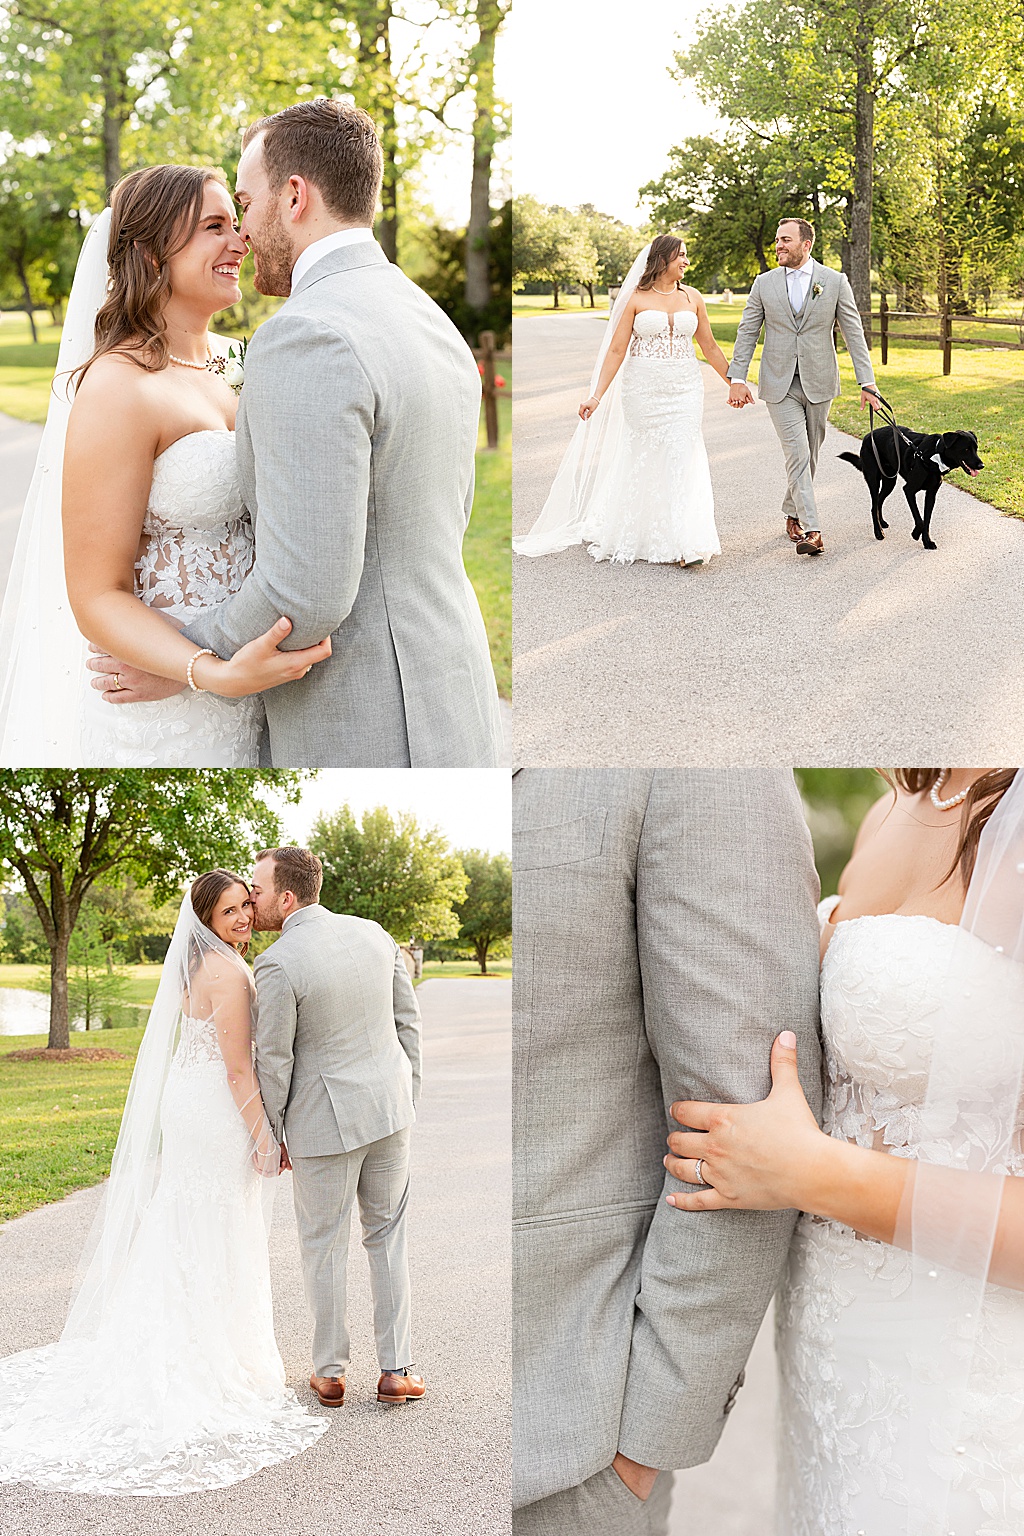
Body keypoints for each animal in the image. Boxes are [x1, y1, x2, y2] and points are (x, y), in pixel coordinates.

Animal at [841, 427, 982, 552]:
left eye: (976, 449)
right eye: (966, 449)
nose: (982, 465)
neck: (934, 456)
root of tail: (866, 436)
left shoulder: (931, 494)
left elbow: (926, 521)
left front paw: (927, 542)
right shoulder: (909, 490)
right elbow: (920, 521)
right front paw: (915, 534)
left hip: (890, 481)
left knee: (879, 501)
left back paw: (882, 523)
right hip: (874, 480)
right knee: (874, 505)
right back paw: (878, 532)